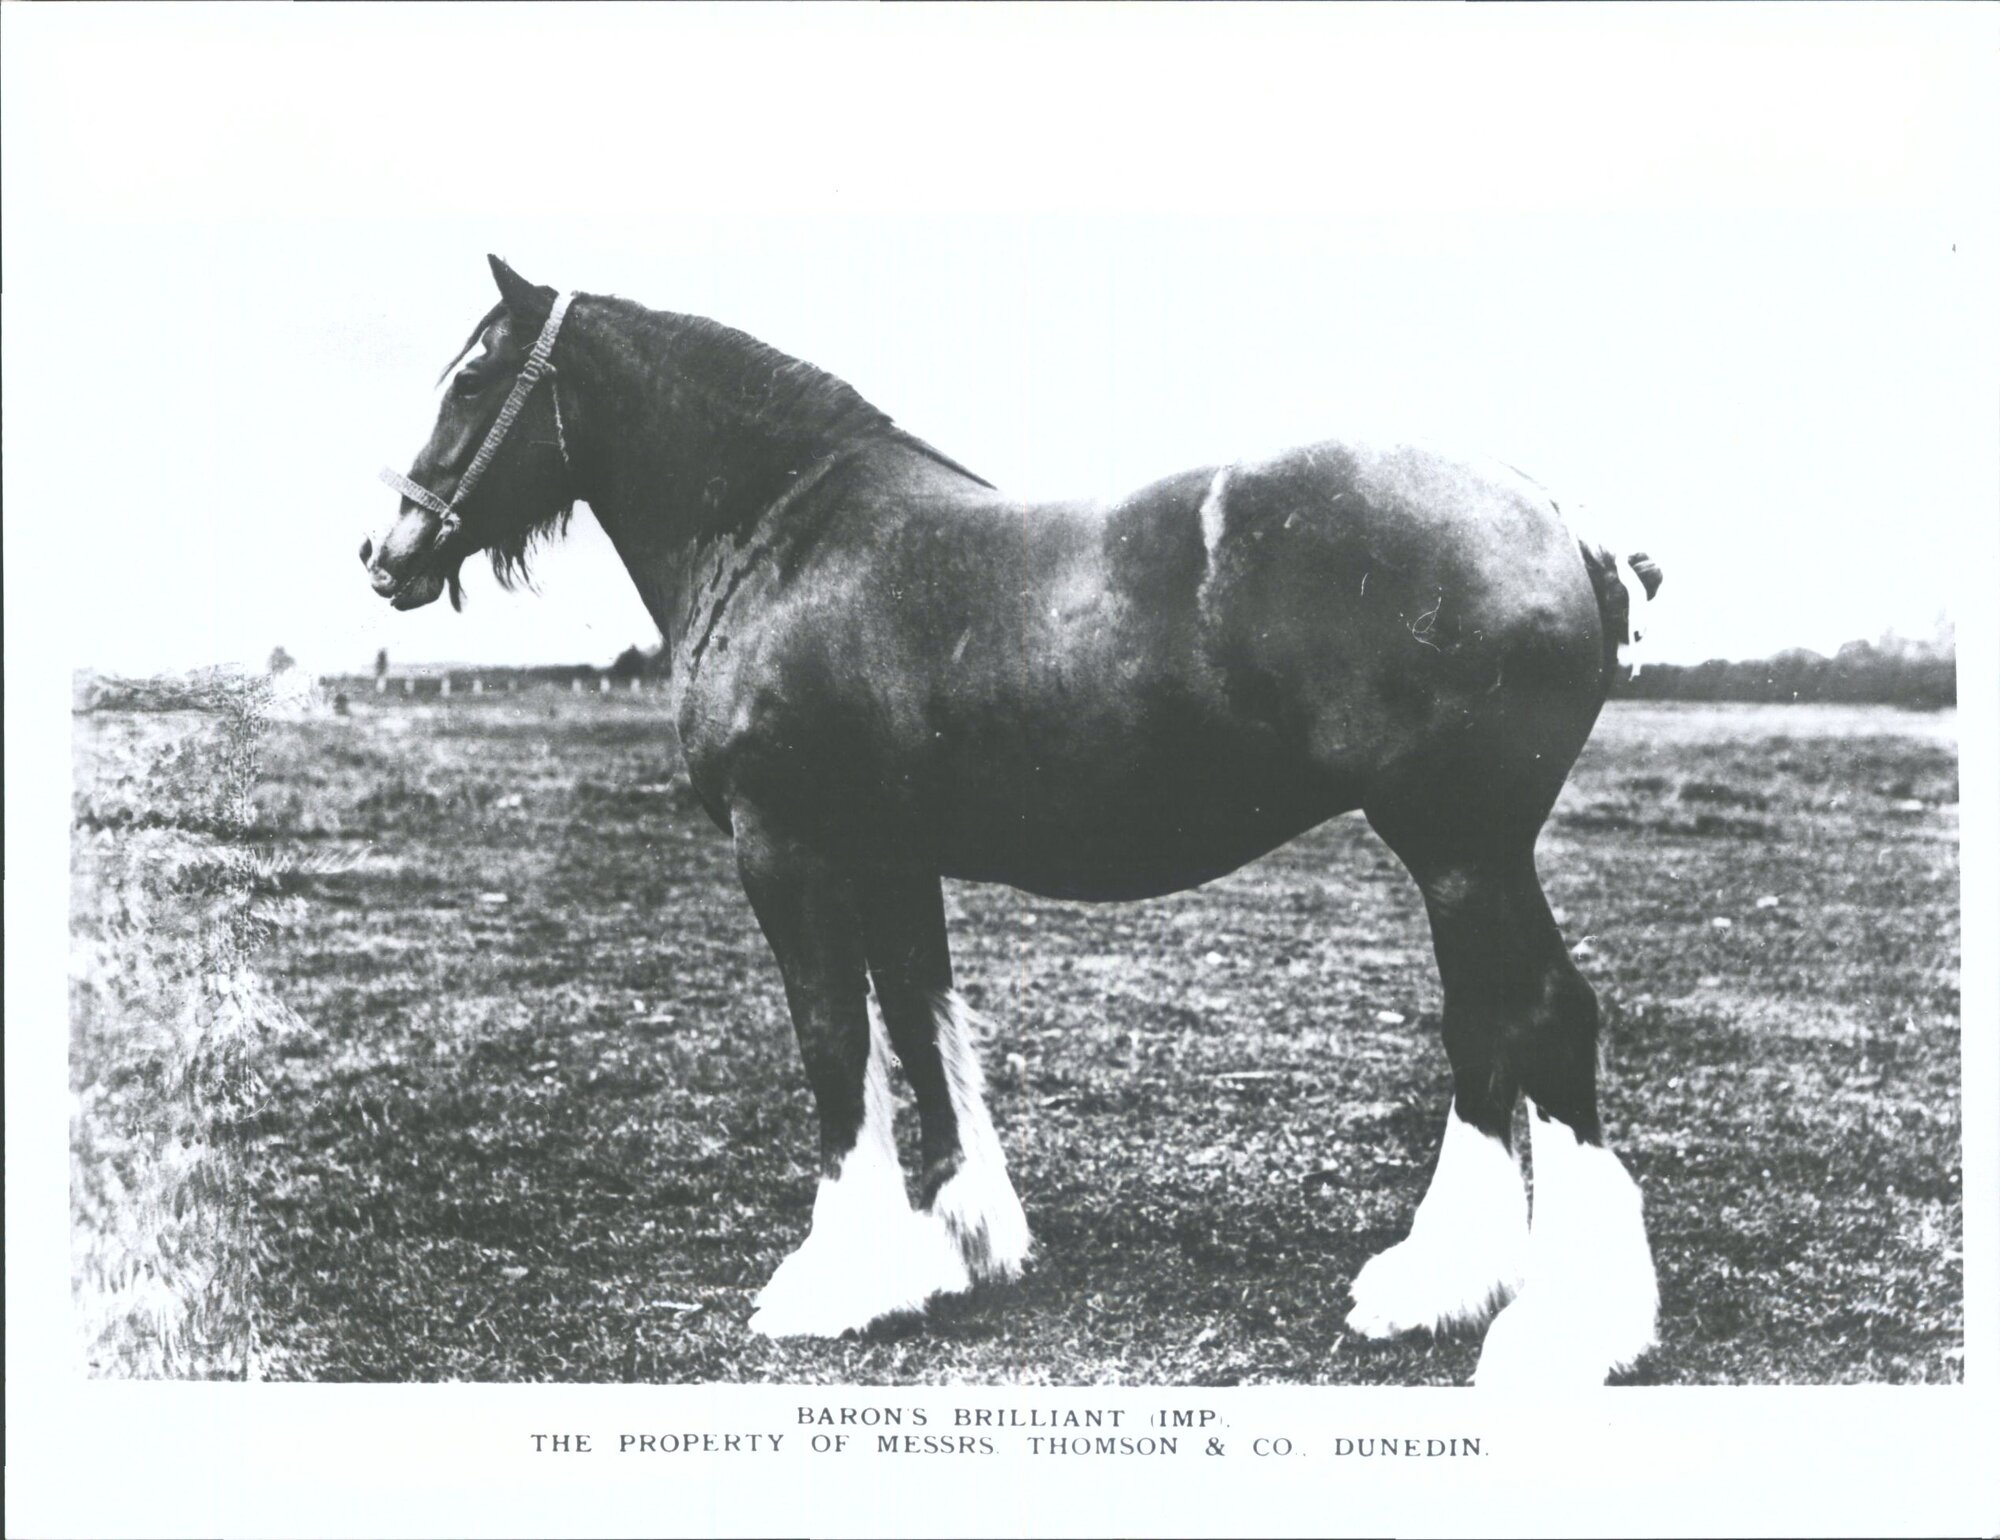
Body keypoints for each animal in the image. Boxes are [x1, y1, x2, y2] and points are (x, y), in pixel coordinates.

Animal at [364, 257, 1666, 1385]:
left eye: (473, 376)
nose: (386, 553)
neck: (782, 537)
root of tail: (1556, 518)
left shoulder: (785, 852)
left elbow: (834, 1043)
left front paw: (831, 1279)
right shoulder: (888, 857)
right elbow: (919, 1022)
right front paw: (958, 1245)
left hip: (1460, 848)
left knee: (1538, 1021)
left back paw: (1562, 1323)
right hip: (1462, 858)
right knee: (1484, 1033)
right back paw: (1437, 1283)